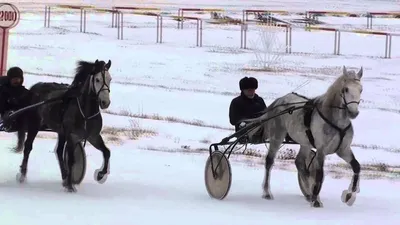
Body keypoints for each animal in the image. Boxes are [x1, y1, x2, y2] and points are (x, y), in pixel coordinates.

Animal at [14, 59, 112, 192]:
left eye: (110, 79)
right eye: (97, 79)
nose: (105, 102)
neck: (85, 113)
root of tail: (36, 87)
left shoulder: (93, 136)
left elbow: (106, 152)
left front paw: (101, 175)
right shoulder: (72, 136)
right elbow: (71, 160)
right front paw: (70, 186)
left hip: (61, 132)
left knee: (59, 151)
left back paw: (65, 176)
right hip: (34, 125)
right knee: (28, 147)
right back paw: (22, 175)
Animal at [244, 66, 362, 207]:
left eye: (361, 89)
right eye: (346, 89)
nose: (353, 113)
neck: (336, 122)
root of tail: (279, 101)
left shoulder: (343, 150)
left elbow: (356, 166)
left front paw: (350, 195)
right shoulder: (321, 150)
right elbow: (319, 174)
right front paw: (316, 200)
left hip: (305, 143)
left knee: (300, 163)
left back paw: (308, 192)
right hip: (277, 136)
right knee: (269, 161)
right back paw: (267, 192)